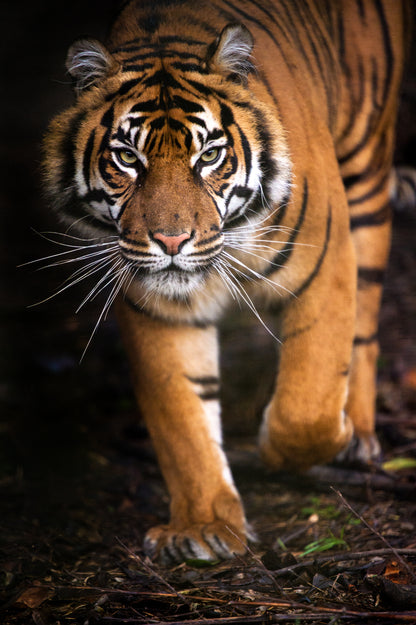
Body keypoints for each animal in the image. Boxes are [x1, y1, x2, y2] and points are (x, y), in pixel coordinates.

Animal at [40, 0, 412, 564]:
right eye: (127, 158)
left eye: (209, 155)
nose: (171, 241)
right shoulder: (157, 308)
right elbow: (183, 420)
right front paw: (204, 527)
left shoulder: (326, 263)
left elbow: (307, 404)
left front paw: (305, 442)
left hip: (365, 172)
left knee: (365, 329)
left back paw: (360, 435)